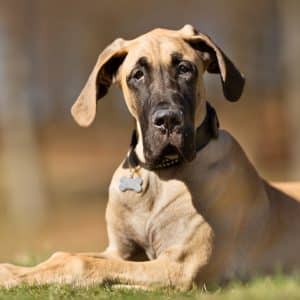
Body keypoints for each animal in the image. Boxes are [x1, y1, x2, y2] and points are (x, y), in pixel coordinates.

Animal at [0, 26, 300, 290]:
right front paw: (15, 270)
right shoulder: (119, 251)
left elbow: (80, 262)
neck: (160, 174)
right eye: (137, 75)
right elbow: (69, 255)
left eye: (184, 68)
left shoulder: (180, 266)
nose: (168, 120)